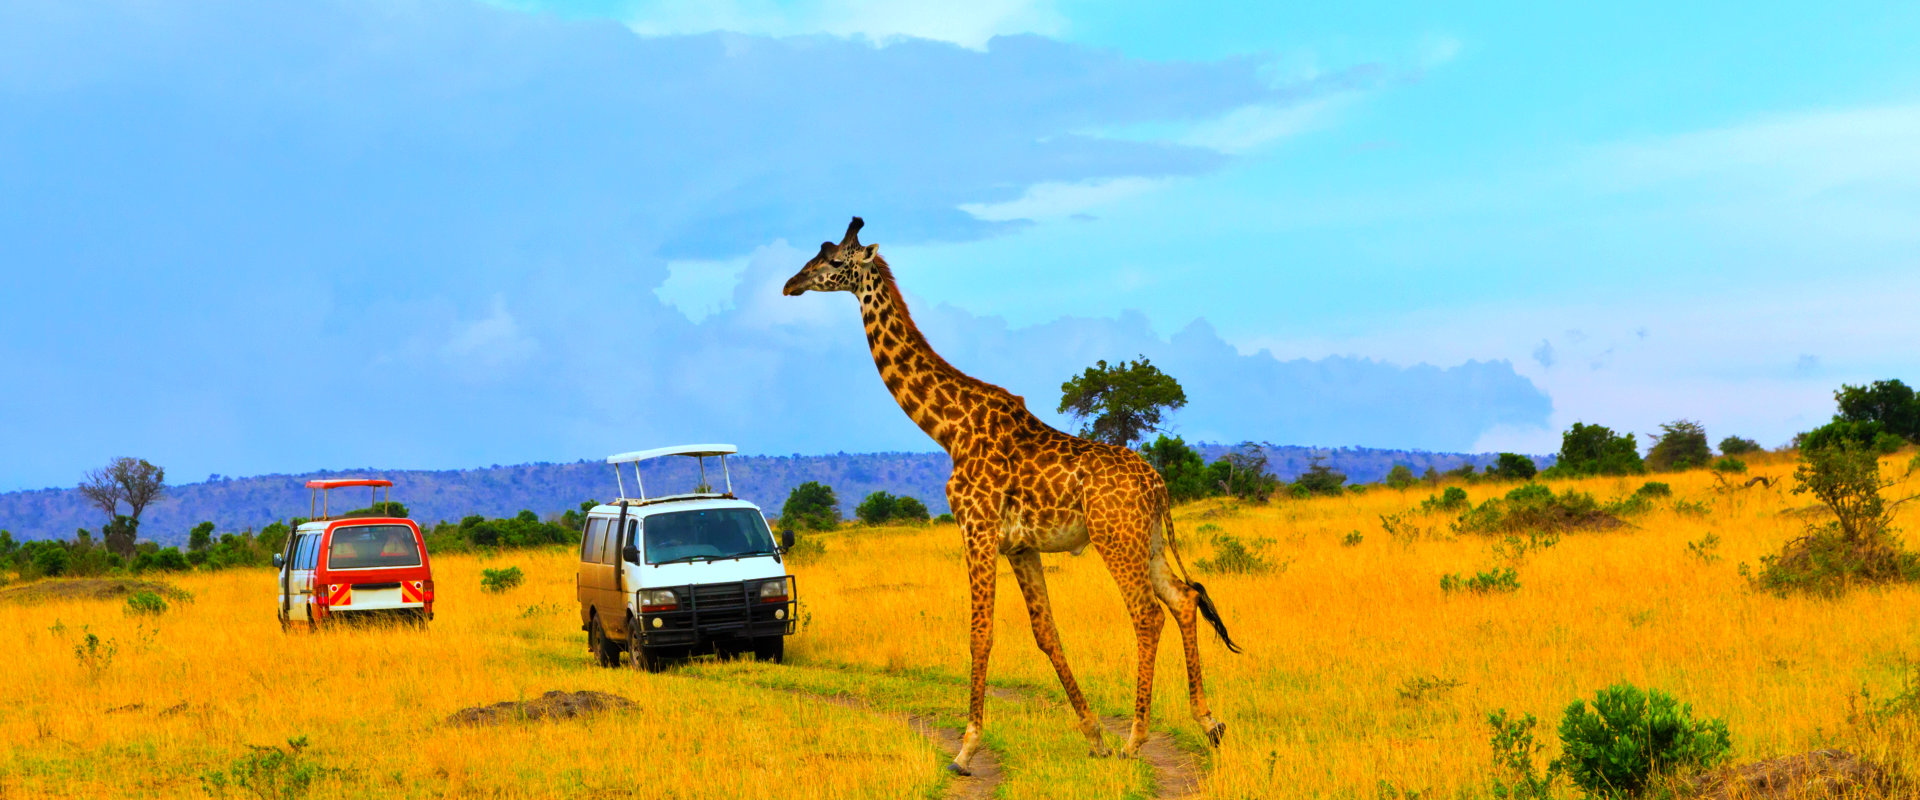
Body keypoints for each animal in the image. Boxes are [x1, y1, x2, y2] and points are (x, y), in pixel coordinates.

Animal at [782, 217, 1241, 775]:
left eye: (832, 261)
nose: (790, 285)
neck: (948, 427)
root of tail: (1159, 485)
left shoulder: (976, 528)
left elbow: (980, 632)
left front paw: (966, 747)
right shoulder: (1020, 546)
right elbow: (1046, 632)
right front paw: (1093, 735)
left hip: (1115, 539)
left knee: (1148, 614)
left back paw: (1136, 738)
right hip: (1146, 540)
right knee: (1184, 598)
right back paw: (1208, 722)